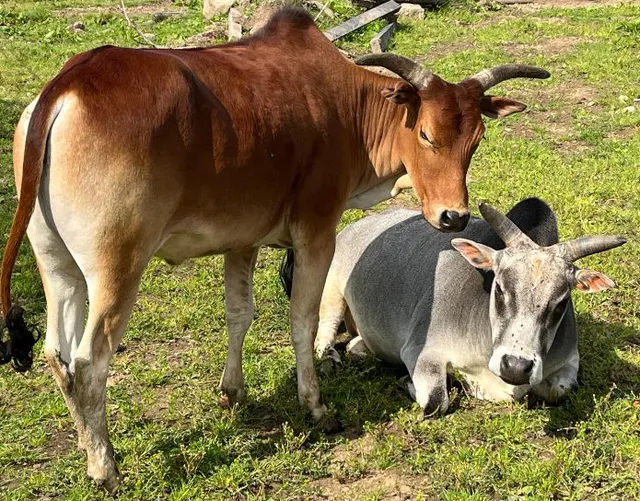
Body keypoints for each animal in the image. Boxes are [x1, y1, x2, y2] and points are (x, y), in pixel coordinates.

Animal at [0, 8, 550, 491]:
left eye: (476, 139)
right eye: (426, 133)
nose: (452, 215)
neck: (348, 106)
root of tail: (72, 81)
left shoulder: (241, 240)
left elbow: (239, 314)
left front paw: (233, 393)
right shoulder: (316, 232)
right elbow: (304, 322)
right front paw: (316, 407)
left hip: (57, 267)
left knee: (57, 355)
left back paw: (83, 443)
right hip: (117, 268)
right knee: (90, 364)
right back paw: (105, 468)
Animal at [279, 199, 625, 413]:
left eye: (561, 302)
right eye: (500, 289)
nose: (516, 366)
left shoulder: (569, 361)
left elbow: (561, 389)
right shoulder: (423, 352)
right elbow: (436, 401)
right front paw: (411, 383)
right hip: (329, 292)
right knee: (323, 337)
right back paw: (333, 355)